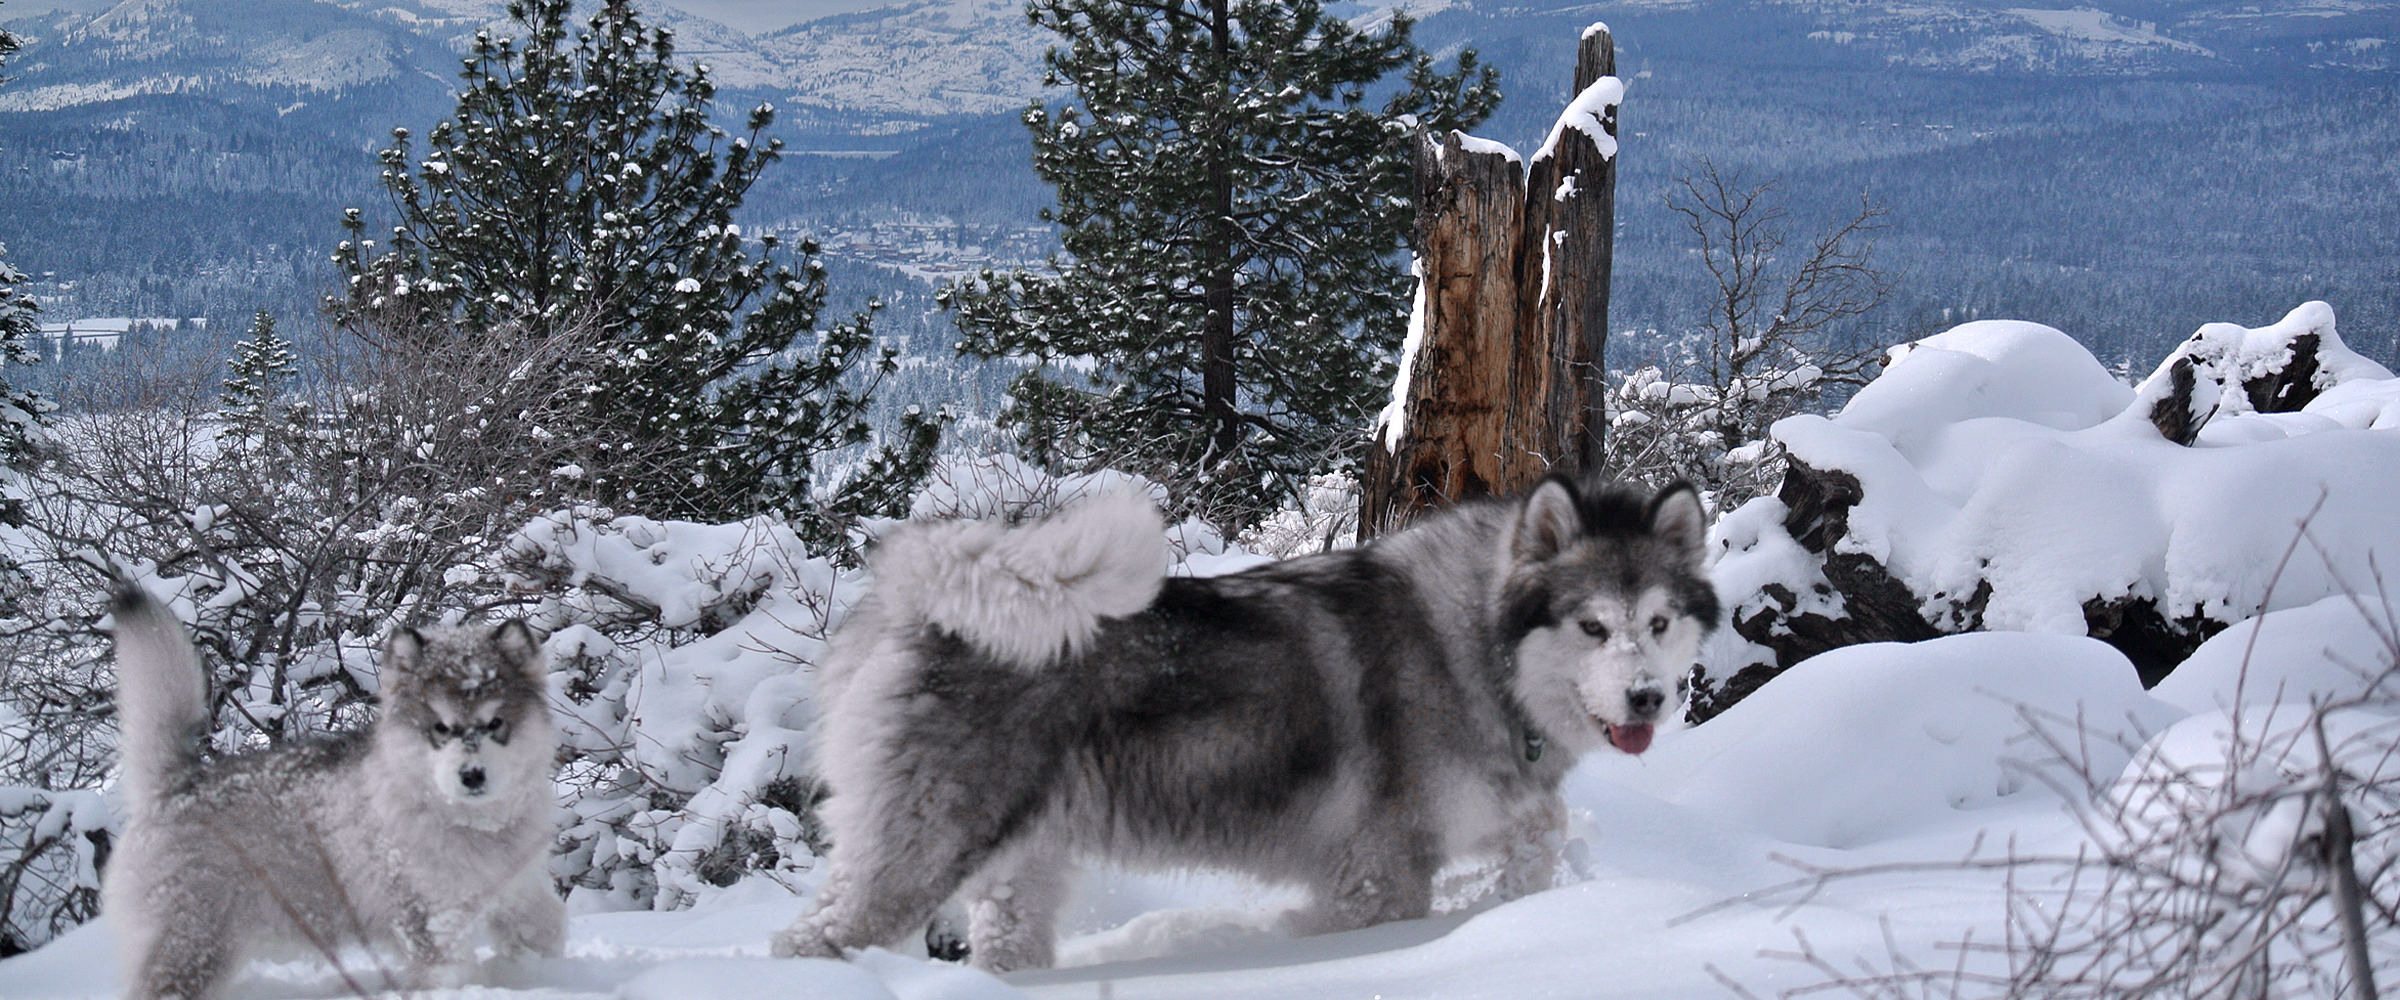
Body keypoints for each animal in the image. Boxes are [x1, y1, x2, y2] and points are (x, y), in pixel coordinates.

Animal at [104, 587, 566, 992]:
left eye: (495, 723)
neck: (475, 825)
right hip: (195, 945)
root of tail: (177, 783)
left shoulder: (520, 892)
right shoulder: (429, 921)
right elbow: (452, 972)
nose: (472, 775)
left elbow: (542, 933)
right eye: (440, 727)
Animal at [768, 474, 1708, 968]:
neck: (1468, 642)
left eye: (1659, 622)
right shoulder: (1382, 873)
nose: (1647, 698)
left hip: (1021, 865)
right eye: (1593, 626)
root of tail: (914, 600)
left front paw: (1518, 906)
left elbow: (1542, 830)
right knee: (815, 938)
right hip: (921, 852)